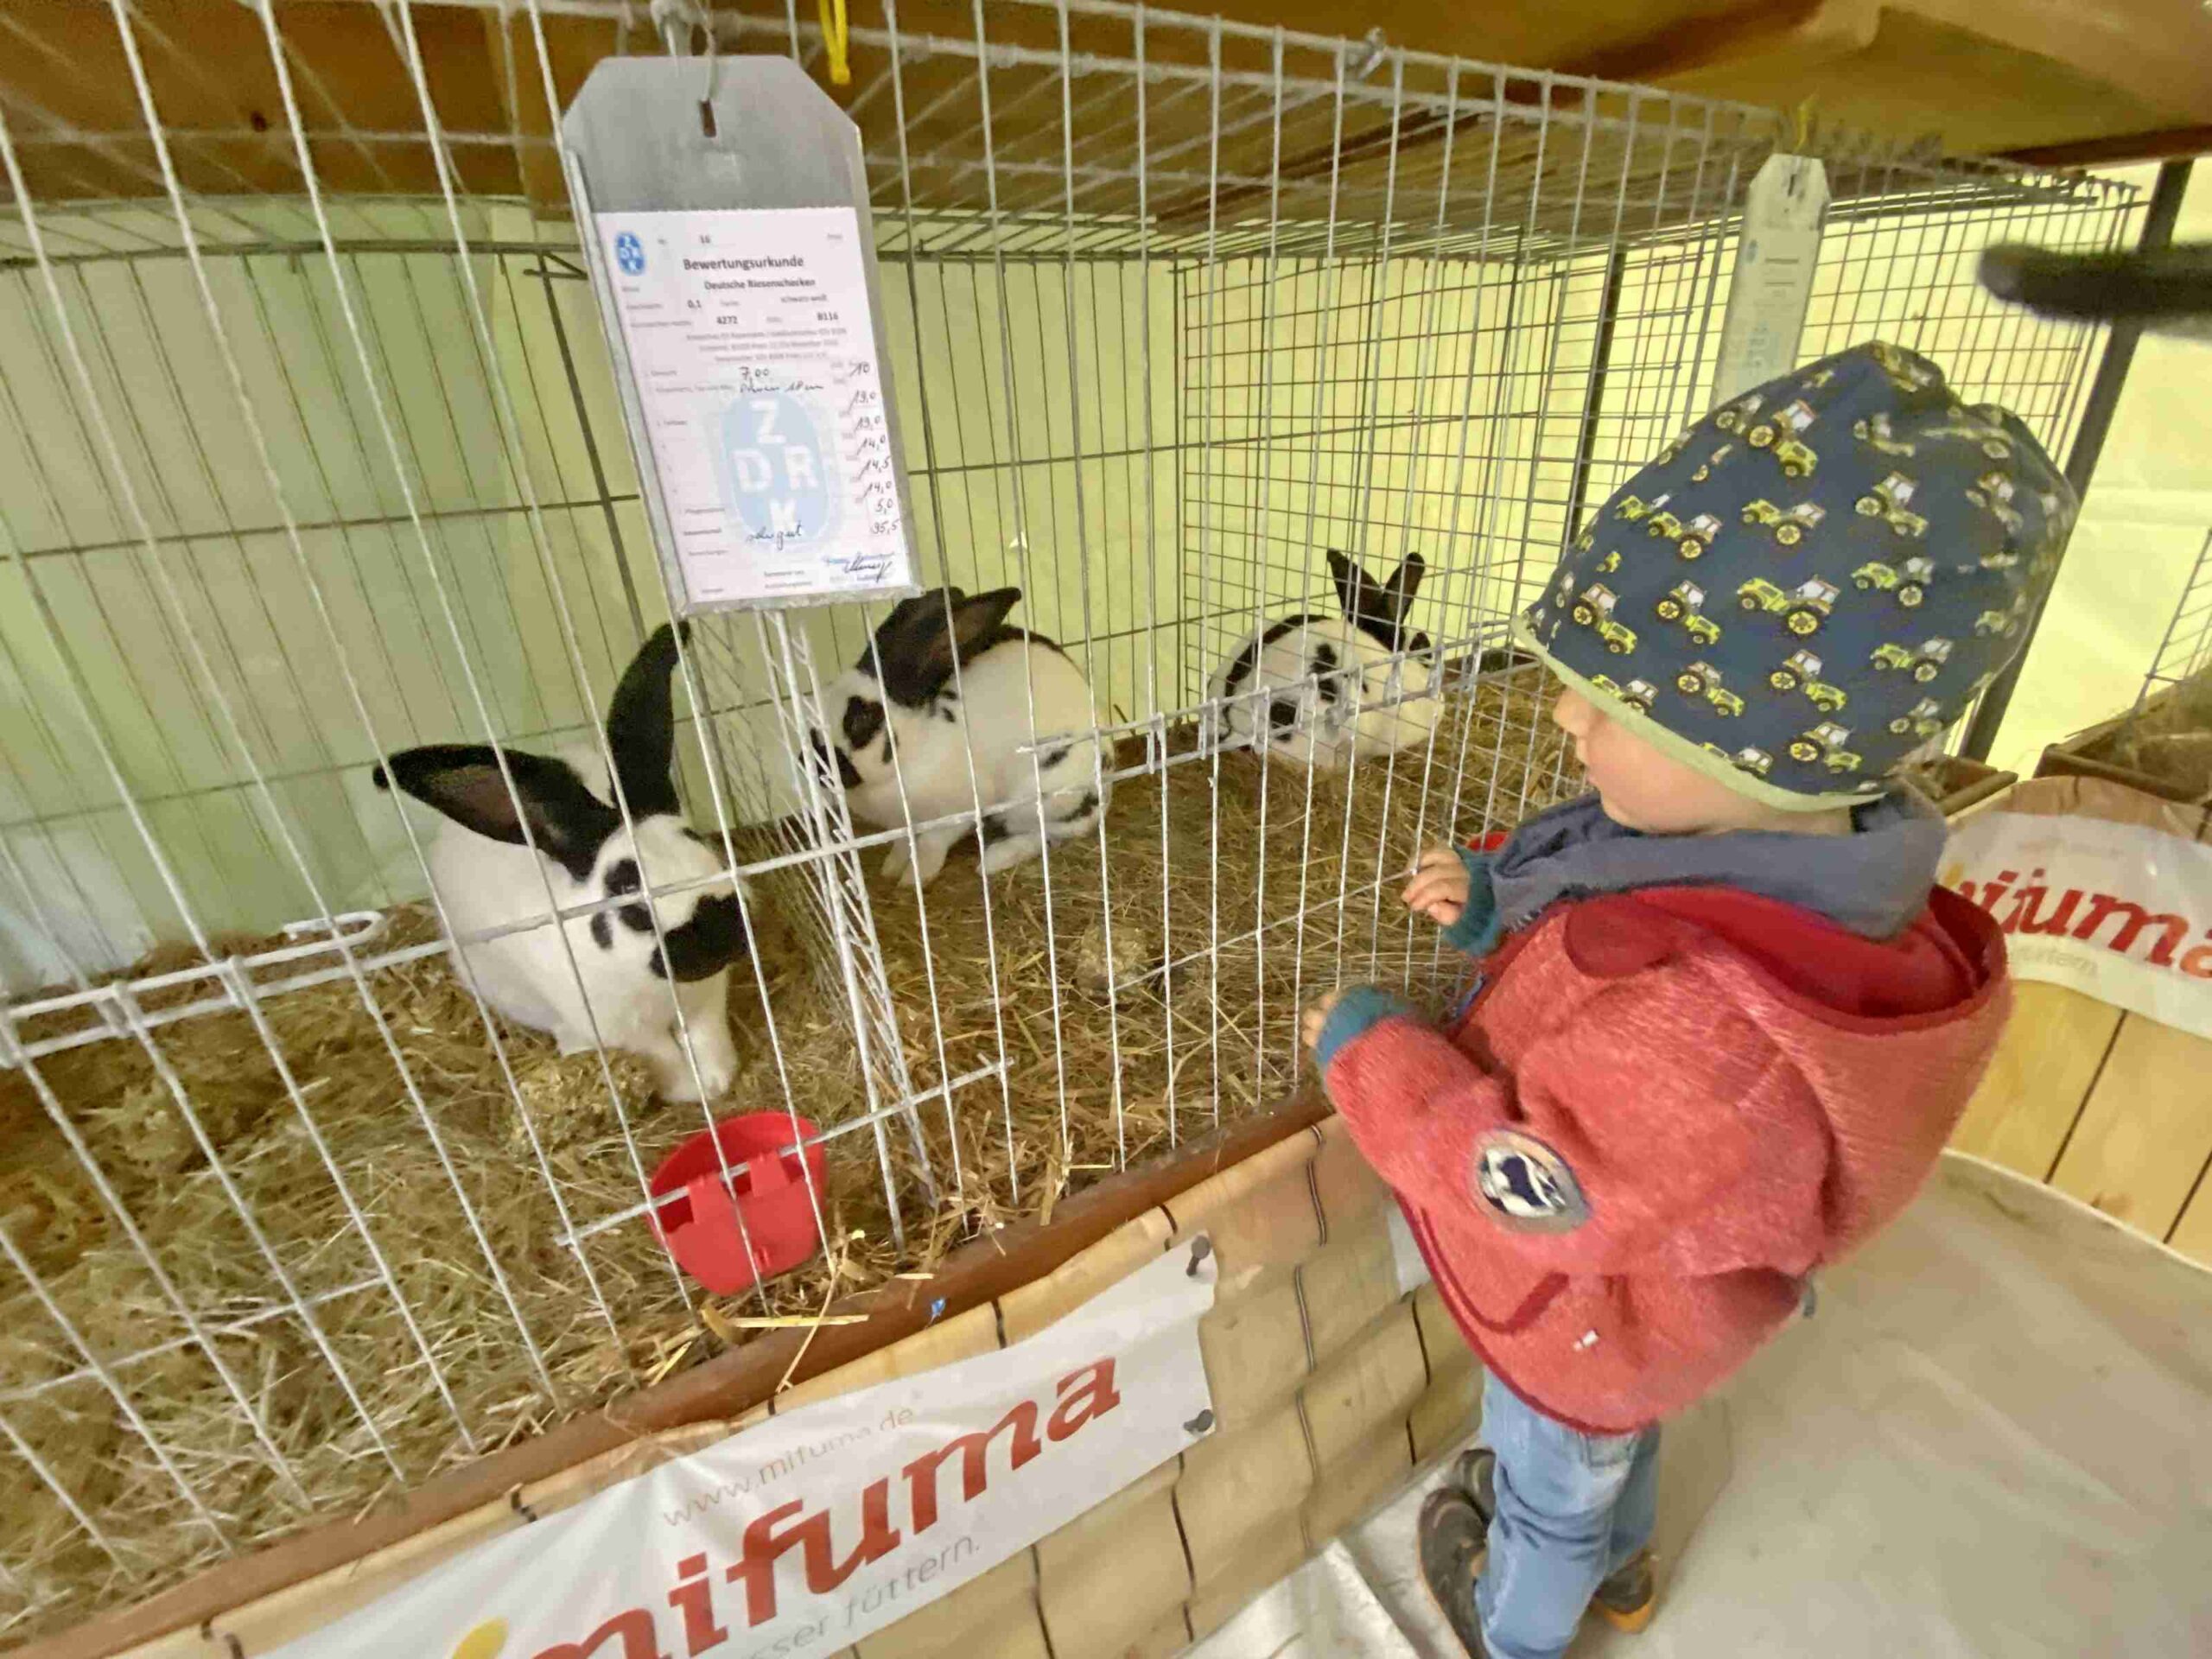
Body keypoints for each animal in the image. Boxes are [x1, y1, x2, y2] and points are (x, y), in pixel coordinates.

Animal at [373, 622, 747, 1103]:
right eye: (625, 887)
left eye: (696, 839)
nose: (719, 927)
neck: (655, 984)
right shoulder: (620, 1028)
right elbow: (663, 1054)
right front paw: (691, 1091)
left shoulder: (707, 997)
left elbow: (705, 1035)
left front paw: (718, 1078)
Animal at [809, 586, 1109, 890]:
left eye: (860, 721)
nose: (810, 761)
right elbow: (903, 845)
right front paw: (891, 868)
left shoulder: (960, 809)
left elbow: (931, 844)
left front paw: (914, 878)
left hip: (1042, 799)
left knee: (1050, 833)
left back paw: (994, 860)